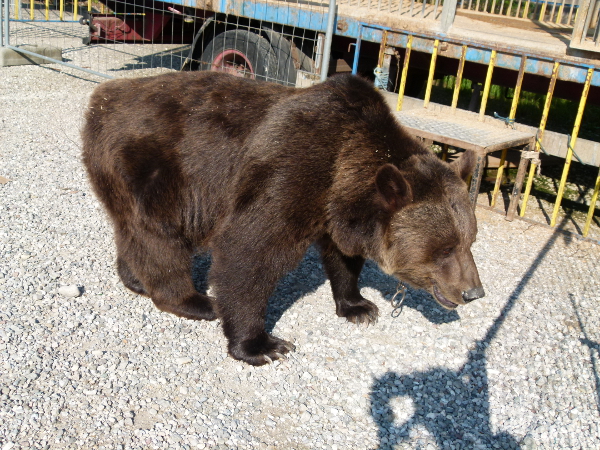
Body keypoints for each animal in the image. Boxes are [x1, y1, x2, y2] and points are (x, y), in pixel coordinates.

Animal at [82, 71, 486, 366]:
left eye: (470, 240)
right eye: (445, 248)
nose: (473, 293)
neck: (342, 171)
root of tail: (102, 97)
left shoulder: (337, 211)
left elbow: (343, 257)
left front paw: (358, 306)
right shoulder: (289, 170)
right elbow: (248, 253)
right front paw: (261, 345)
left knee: (131, 230)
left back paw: (136, 280)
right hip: (155, 168)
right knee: (160, 238)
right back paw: (193, 301)